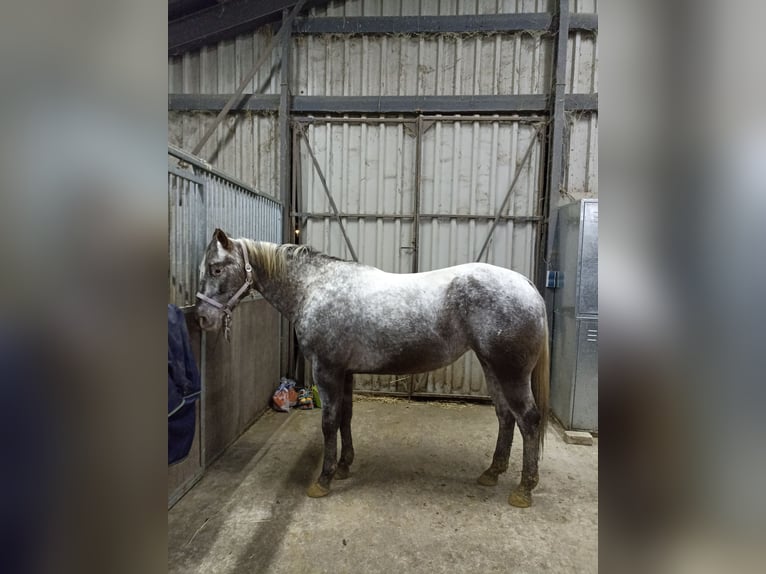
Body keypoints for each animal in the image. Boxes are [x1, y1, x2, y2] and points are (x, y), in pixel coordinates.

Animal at [195, 228, 550, 507]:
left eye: (216, 269)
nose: (202, 318)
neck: (314, 287)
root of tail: (525, 283)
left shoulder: (327, 371)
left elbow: (329, 423)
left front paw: (323, 480)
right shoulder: (345, 373)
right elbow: (345, 418)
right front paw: (343, 467)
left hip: (511, 373)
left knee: (528, 420)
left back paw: (524, 489)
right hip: (492, 366)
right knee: (505, 416)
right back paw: (492, 472)